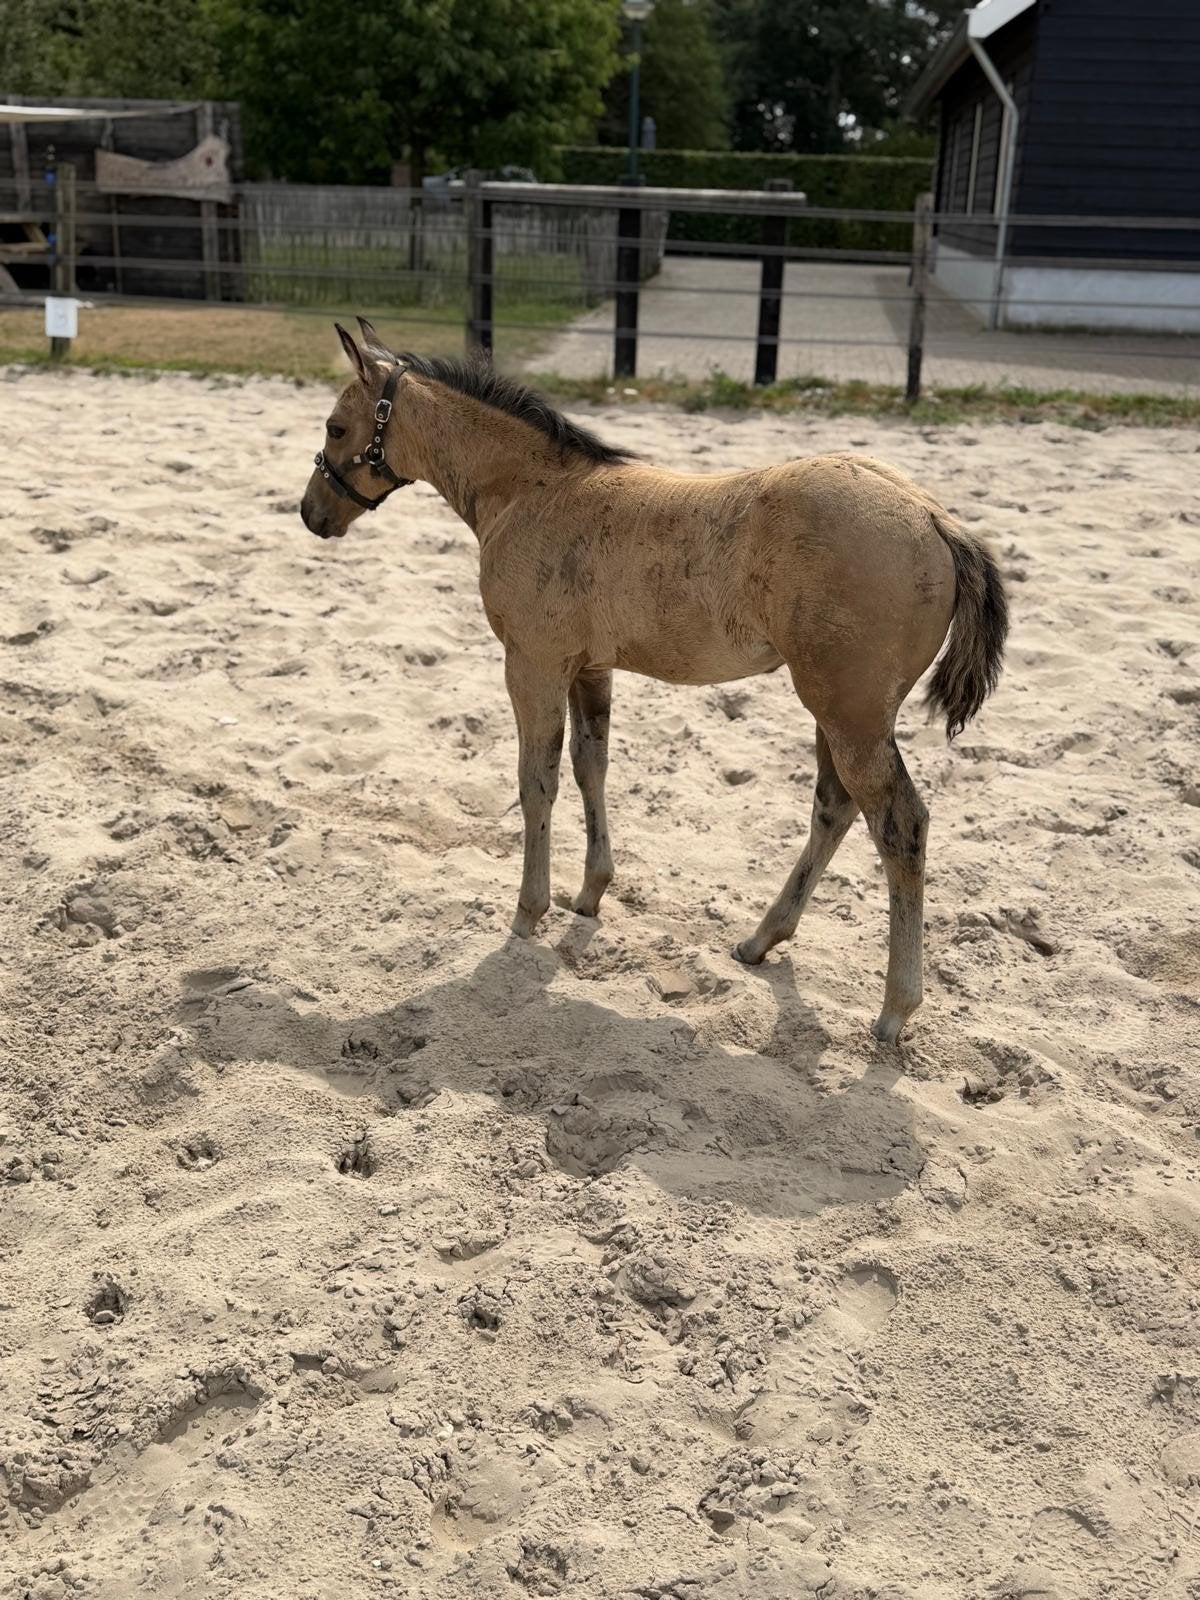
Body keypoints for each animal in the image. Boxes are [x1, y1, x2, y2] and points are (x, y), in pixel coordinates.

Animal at [300, 320, 1008, 1042]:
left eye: (335, 427)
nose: (311, 513)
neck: (528, 492)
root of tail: (936, 520)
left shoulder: (531, 662)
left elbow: (536, 782)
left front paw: (529, 912)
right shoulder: (589, 667)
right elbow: (591, 767)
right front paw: (589, 895)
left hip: (851, 714)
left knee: (900, 824)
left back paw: (894, 1009)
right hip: (839, 712)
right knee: (835, 807)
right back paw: (761, 940)